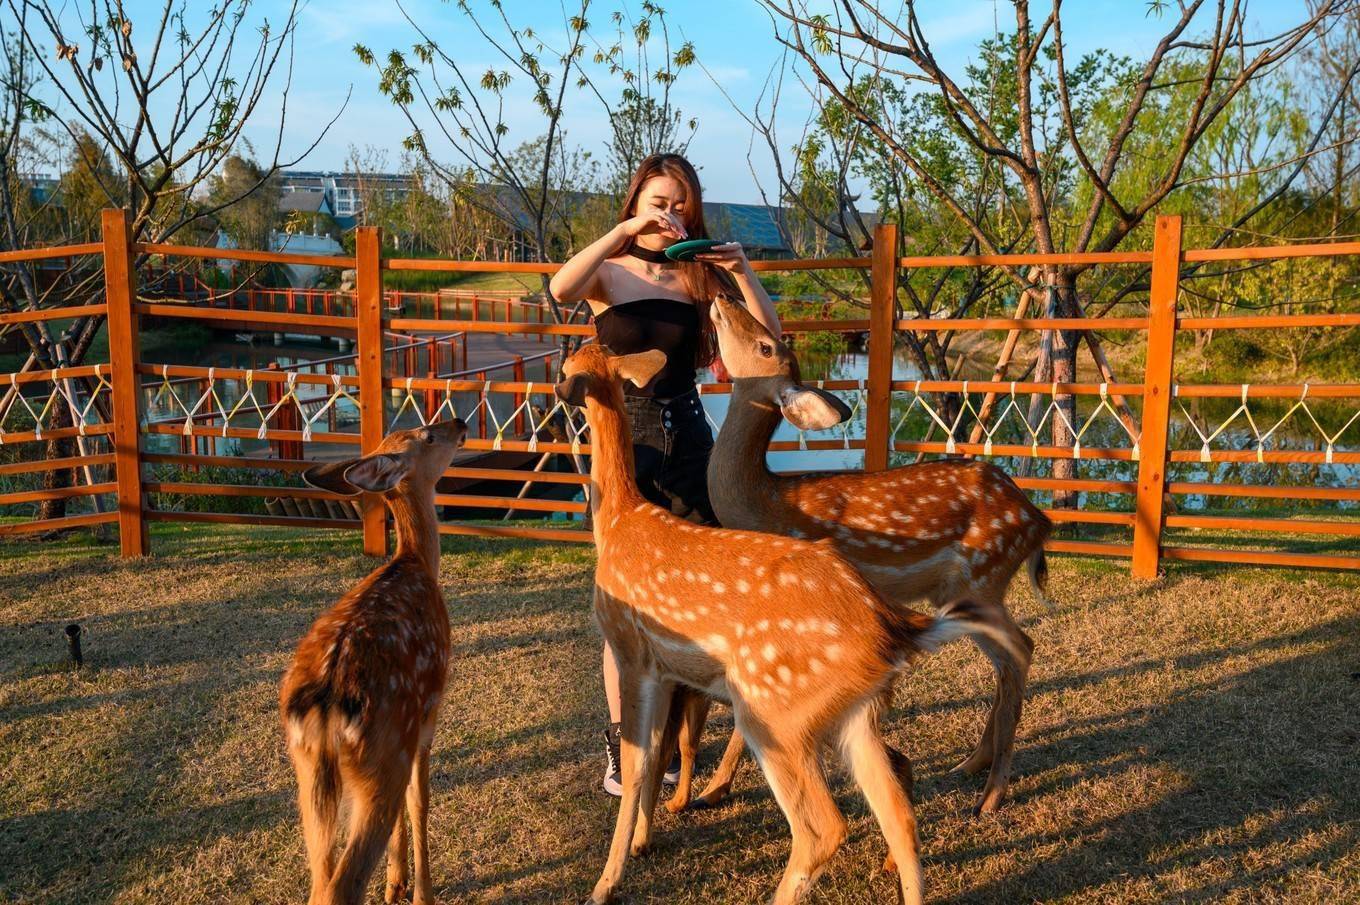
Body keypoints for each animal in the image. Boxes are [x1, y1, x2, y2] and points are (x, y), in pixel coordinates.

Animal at [276, 419, 467, 903]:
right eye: (428, 436)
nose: (458, 424)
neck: (416, 561)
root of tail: (326, 706)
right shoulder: (426, 716)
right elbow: (420, 802)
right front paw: (420, 893)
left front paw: (395, 883)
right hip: (384, 748)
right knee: (340, 885)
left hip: (308, 771)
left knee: (320, 877)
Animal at [557, 344, 1022, 903]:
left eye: (566, 369)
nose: (559, 385)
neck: (619, 522)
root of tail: (891, 629)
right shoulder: (669, 670)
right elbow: (658, 755)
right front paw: (645, 842)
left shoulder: (630, 649)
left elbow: (637, 762)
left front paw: (605, 885)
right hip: (854, 712)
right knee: (897, 812)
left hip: (773, 709)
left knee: (823, 826)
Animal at [669, 292, 1049, 816]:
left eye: (767, 346)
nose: (724, 296)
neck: (766, 504)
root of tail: (1037, 519)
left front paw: (714, 788)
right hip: (962, 591)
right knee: (1010, 655)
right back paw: (970, 766)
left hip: (983, 575)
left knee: (1020, 649)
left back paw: (991, 795)